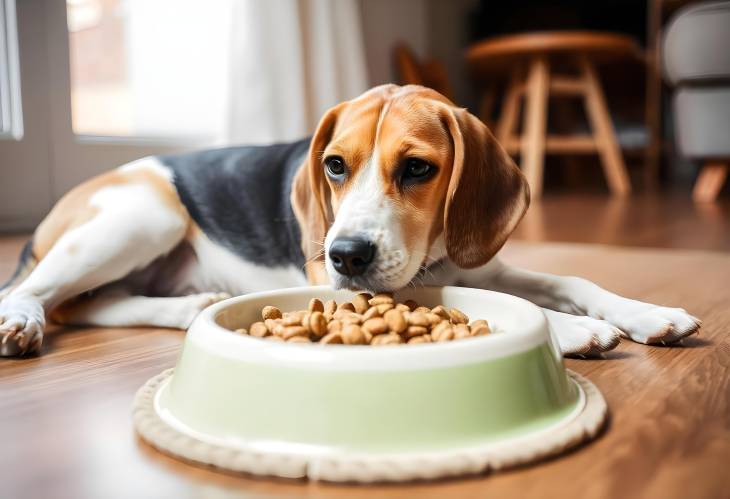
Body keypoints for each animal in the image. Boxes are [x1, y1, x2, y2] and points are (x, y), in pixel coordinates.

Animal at [0, 87, 696, 360]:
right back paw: (21, 322)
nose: (346, 255)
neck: (430, 254)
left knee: (89, 306)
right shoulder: (363, 286)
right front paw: (570, 329)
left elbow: (574, 280)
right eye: (334, 165)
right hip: (147, 215)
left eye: (417, 169)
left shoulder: (479, 262)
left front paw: (646, 313)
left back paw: (191, 306)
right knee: (38, 294)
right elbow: (482, 301)